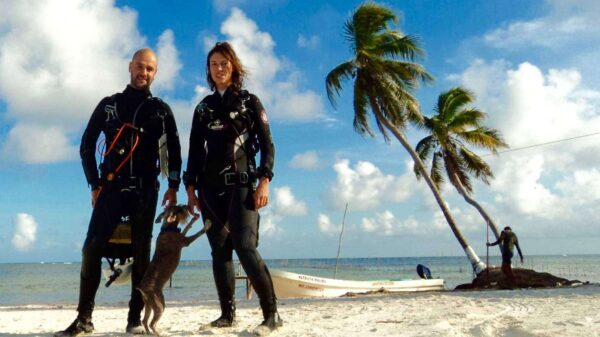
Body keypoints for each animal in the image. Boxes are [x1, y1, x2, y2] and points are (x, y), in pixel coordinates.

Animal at [136, 203, 211, 334]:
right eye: (178, 209)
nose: (185, 205)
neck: (168, 229)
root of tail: (142, 289)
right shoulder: (185, 241)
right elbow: (199, 232)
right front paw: (207, 224)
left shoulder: (182, 236)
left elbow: (186, 228)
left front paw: (192, 221)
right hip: (160, 305)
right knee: (151, 323)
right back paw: (158, 334)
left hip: (148, 304)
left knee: (145, 321)